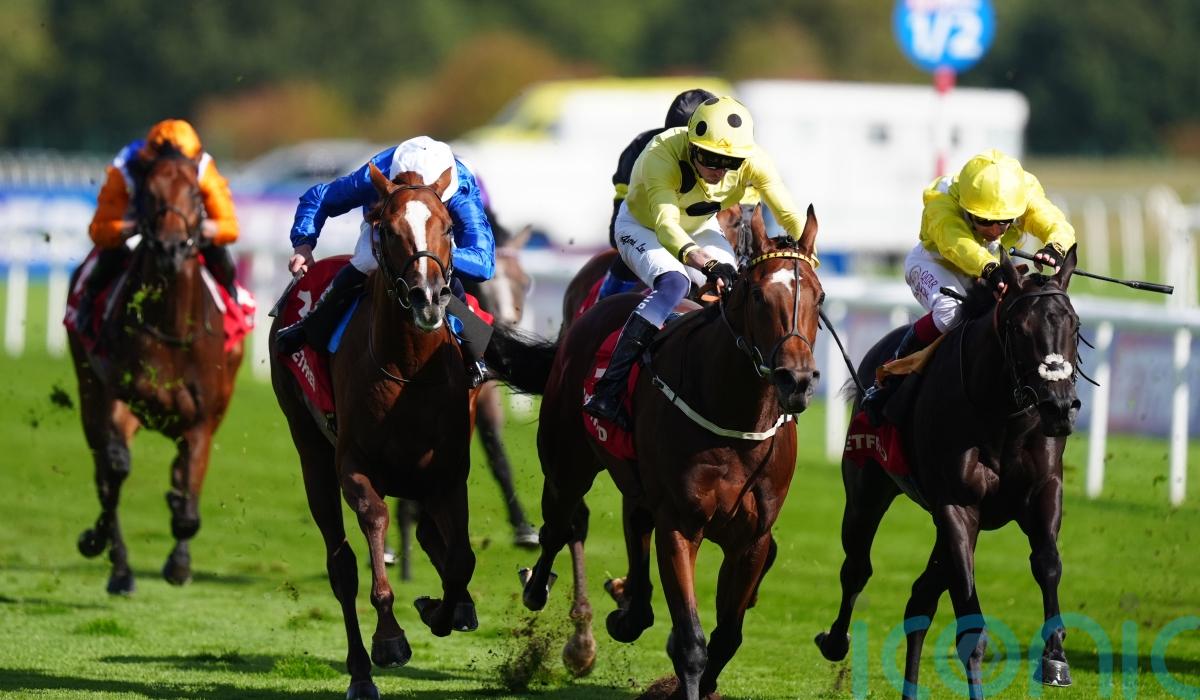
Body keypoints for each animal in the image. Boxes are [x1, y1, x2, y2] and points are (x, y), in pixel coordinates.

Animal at [68, 146, 244, 594]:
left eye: (196, 196)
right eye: (149, 194)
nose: (169, 248)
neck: (170, 327)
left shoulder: (201, 421)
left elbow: (188, 500)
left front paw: (179, 562)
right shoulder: (117, 394)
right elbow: (115, 471)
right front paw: (101, 545)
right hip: (89, 392)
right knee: (106, 475)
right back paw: (118, 567)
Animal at [270, 163, 481, 700]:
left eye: (449, 227)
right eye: (386, 228)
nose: (428, 298)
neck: (408, 369)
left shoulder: (449, 472)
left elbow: (461, 559)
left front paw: (442, 610)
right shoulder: (354, 467)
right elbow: (375, 525)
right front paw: (389, 638)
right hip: (310, 451)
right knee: (341, 566)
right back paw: (361, 673)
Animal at [490, 204, 823, 699]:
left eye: (819, 298)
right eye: (759, 296)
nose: (796, 380)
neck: (735, 418)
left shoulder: (752, 538)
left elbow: (728, 634)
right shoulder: (680, 524)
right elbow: (692, 641)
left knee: (630, 523)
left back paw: (626, 608)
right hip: (567, 461)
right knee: (562, 523)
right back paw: (546, 595)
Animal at [814, 247, 1082, 699]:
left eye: (1075, 326)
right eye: (1019, 328)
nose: (1059, 408)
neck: (1001, 417)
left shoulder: (1044, 490)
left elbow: (1047, 561)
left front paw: (1056, 658)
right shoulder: (957, 506)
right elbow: (970, 628)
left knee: (919, 598)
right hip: (867, 490)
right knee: (857, 567)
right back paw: (835, 641)